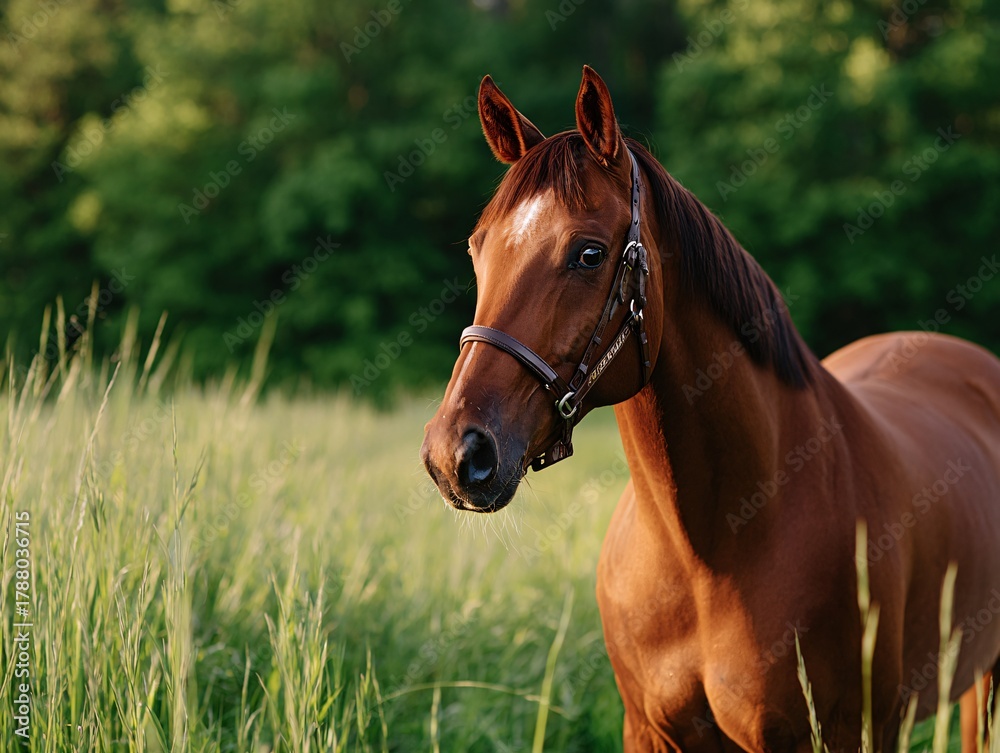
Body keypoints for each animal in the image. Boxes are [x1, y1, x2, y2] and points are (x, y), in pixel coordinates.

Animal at [419, 66, 1000, 753]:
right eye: (478, 249)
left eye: (588, 253)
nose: (456, 455)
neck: (712, 553)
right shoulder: (650, 731)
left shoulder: (847, 732)